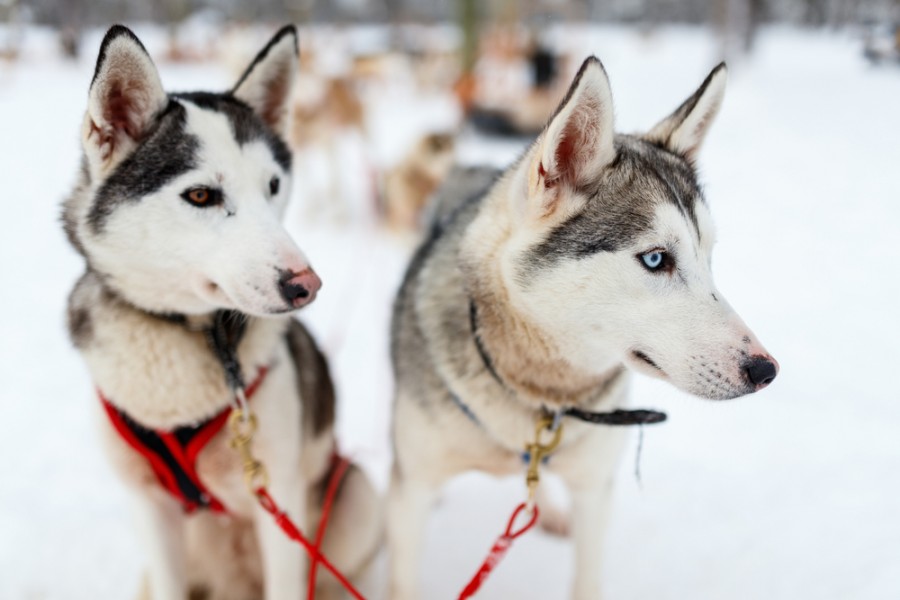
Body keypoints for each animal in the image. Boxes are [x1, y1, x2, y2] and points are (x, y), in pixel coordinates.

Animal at [63, 24, 380, 600]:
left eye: (273, 186)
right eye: (201, 195)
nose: (306, 285)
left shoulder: (280, 502)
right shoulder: (152, 511)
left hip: (353, 494)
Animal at [388, 55, 780, 596]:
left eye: (709, 256)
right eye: (656, 259)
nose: (766, 370)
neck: (541, 393)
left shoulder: (595, 492)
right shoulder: (410, 498)